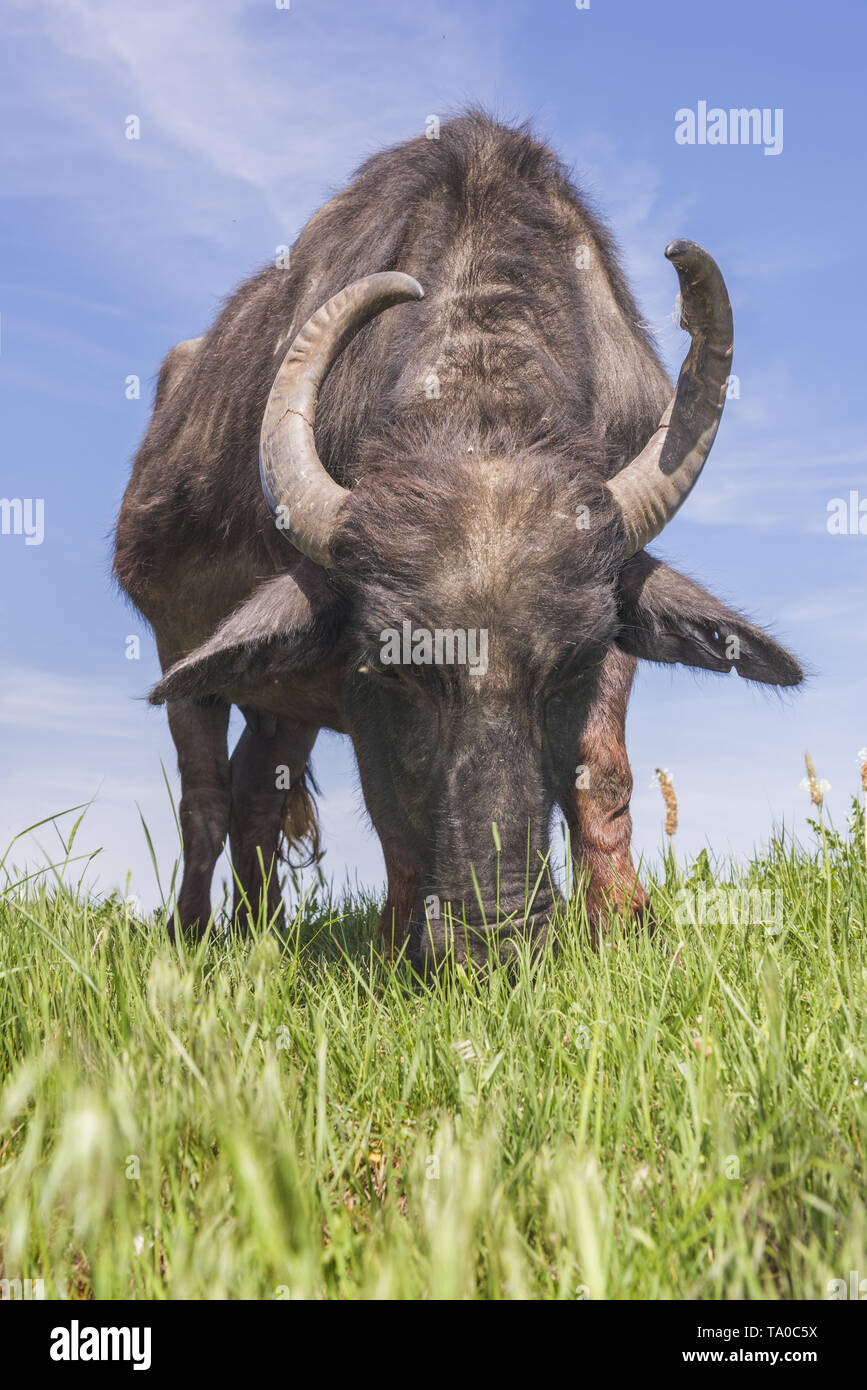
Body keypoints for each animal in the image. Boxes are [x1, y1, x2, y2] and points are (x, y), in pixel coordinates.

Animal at [113, 111, 800, 967]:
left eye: (572, 665)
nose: (499, 937)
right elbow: (386, 805)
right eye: (395, 671)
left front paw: (618, 924)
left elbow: (601, 772)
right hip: (183, 658)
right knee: (205, 797)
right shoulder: (349, 675)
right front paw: (400, 942)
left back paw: (260, 932)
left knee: (256, 792)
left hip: (279, 696)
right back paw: (195, 934)